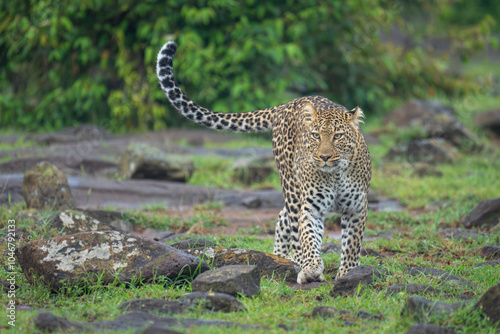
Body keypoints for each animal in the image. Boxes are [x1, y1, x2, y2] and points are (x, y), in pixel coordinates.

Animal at [156, 40, 372, 284]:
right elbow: (308, 236)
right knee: (291, 224)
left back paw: (282, 258)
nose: (324, 157)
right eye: (316, 136)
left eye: (338, 136)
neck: (335, 173)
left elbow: (352, 244)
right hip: (292, 187)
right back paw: (292, 261)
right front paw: (311, 269)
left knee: (283, 218)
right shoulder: (311, 208)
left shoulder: (357, 207)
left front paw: (348, 273)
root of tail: (288, 103)